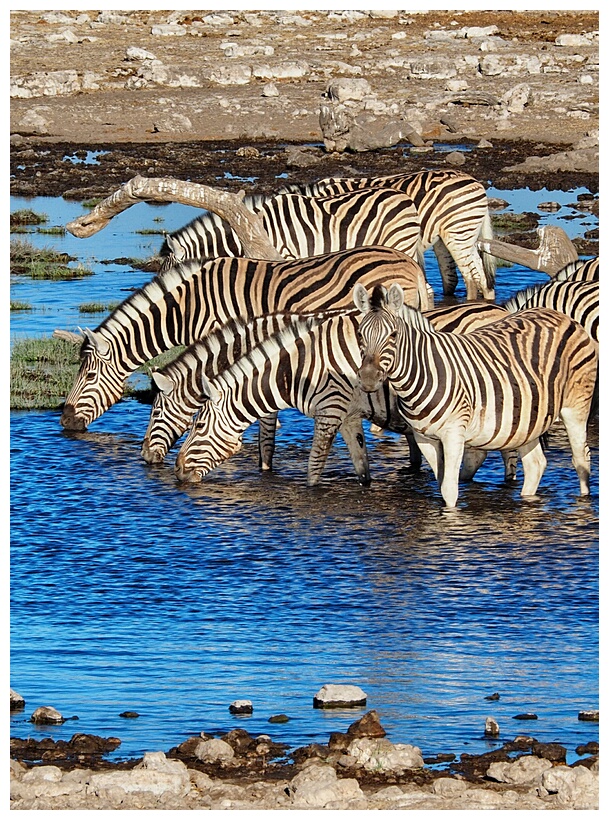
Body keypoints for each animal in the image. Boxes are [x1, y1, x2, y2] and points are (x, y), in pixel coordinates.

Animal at [354, 286, 596, 510]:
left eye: (393, 335)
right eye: (360, 335)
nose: (368, 379)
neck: (423, 374)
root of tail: (559, 315)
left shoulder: (454, 433)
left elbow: (449, 488)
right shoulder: (424, 438)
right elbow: (441, 482)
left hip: (576, 407)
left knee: (581, 459)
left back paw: (584, 503)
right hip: (527, 419)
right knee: (535, 464)